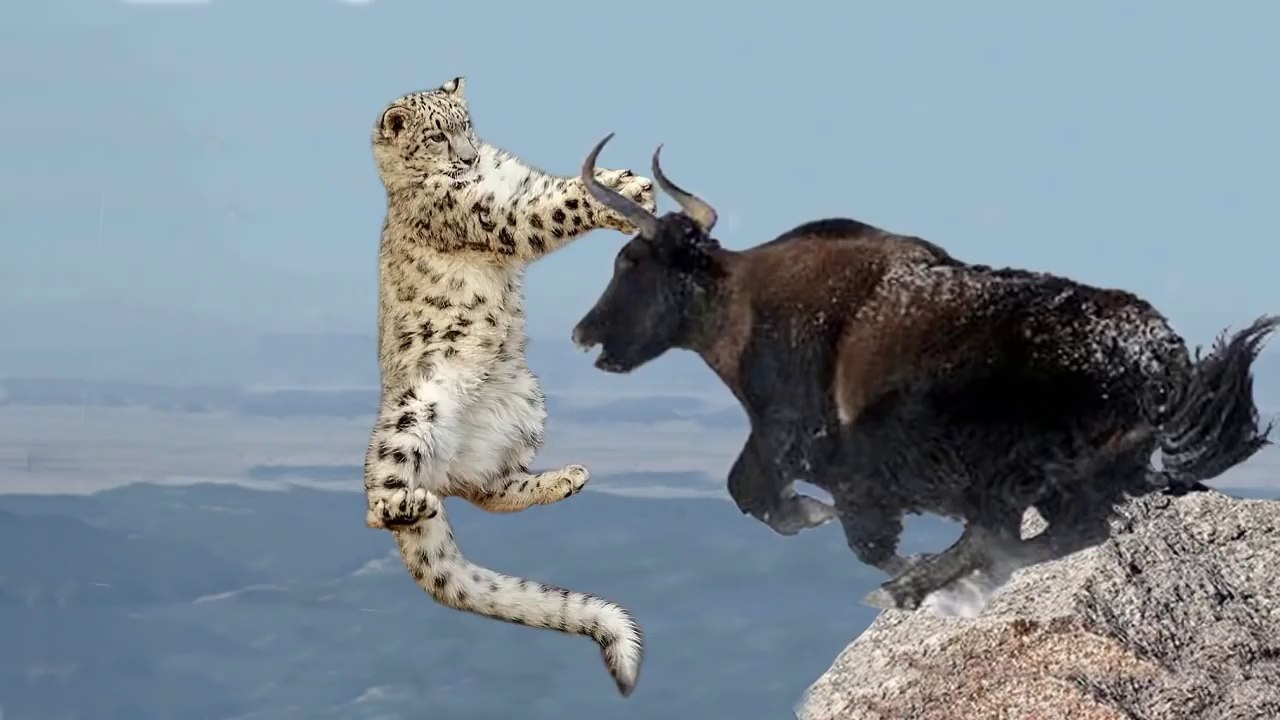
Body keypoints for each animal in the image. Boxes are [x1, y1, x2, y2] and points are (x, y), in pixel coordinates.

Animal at [363, 76, 656, 697]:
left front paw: (627, 186)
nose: (468, 157)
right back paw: (411, 500)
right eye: (435, 136)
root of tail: (448, 465)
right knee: (381, 500)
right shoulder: (493, 213)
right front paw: (614, 195)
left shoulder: (523, 180)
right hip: (414, 409)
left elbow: (558, 186)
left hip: (525, 403)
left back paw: (564, 478)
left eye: (466, 124)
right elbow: (552, 209)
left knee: (487, 488)